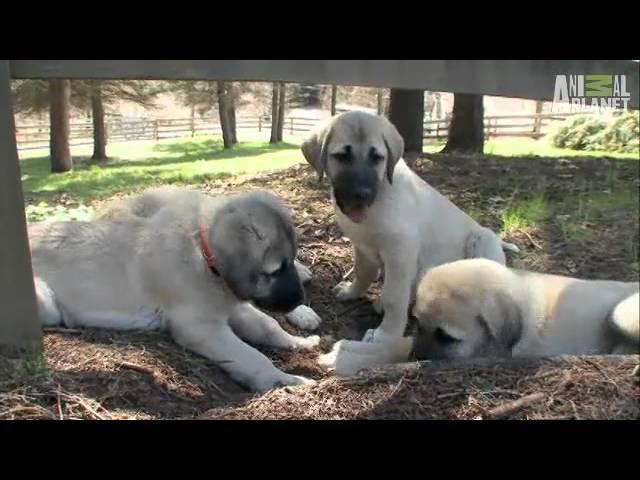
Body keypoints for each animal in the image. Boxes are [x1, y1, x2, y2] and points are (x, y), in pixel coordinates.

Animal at [30, 188, 320, 390]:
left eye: (293, 260)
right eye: (275, 270)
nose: (300, 299)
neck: (203, 254)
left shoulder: (230, 307)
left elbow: (268, 325)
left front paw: (298, 342)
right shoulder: (201, 327)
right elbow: (251, 356)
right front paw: (283, 380)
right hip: (46, 303)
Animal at [302, 111, 520, 346]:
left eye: (377, 158)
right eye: (342, 156)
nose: (362, 194)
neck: (380, 198)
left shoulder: (400, 252)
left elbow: (394, 297)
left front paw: (386, 334)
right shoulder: (362, 247)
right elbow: (363, 273)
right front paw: (352, 292)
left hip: (482, 240)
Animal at [322, 258, 636, 376]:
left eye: (447, 337)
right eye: (417, 324)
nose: (416, 359)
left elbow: (390, 354)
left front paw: (348, 358)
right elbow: (397, 344)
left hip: (623, 313)